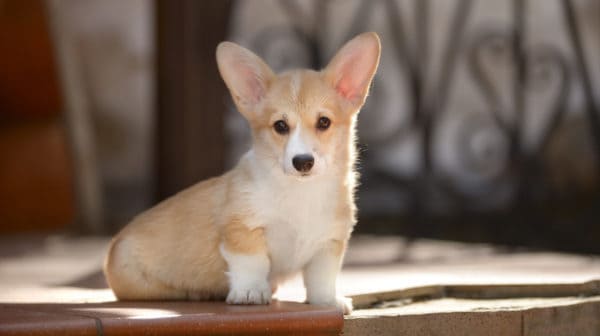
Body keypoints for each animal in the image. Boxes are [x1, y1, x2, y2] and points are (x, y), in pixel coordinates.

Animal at [103, 31, 380, 316]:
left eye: (324, 122)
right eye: (280, 126)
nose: (303, 162)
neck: (301, 193)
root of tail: (112, 248)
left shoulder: (328, 243)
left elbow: (322, 277)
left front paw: (327, 301)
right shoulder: (242, 228)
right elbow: (253, 262)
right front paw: (250, 292)